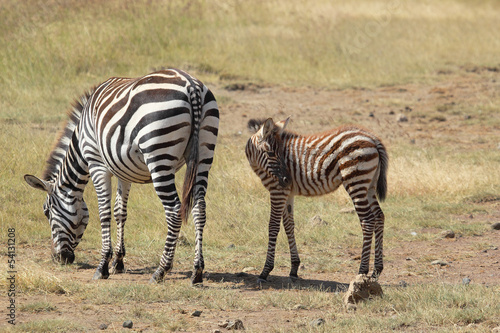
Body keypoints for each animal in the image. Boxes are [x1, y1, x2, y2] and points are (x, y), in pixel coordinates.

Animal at [23, 68, 219, 282]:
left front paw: (103, 266)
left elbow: (104, 213)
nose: (58, 258)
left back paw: (161, 270)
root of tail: (191, 85)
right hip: (204, 154)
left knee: (174, 210)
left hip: (159, 156)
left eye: (47, 212)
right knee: (199, 209)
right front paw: (118, 261)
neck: (81, 140)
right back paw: (197, 271)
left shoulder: (97, 164)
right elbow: (119, 212)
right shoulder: (124, 170)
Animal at [244, 116, 388, 280]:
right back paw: (376, 271)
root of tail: (373, 138)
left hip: (356, 180)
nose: (288, 180)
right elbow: (289, 225)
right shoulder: (288, 193)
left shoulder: (277, 190)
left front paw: (265, 270)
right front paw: (294, 268)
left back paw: (362, 271)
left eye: (278, 153)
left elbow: (273, 226)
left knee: (368, 221)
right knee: (379, 217)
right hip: (369, 185)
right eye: (270, 153)